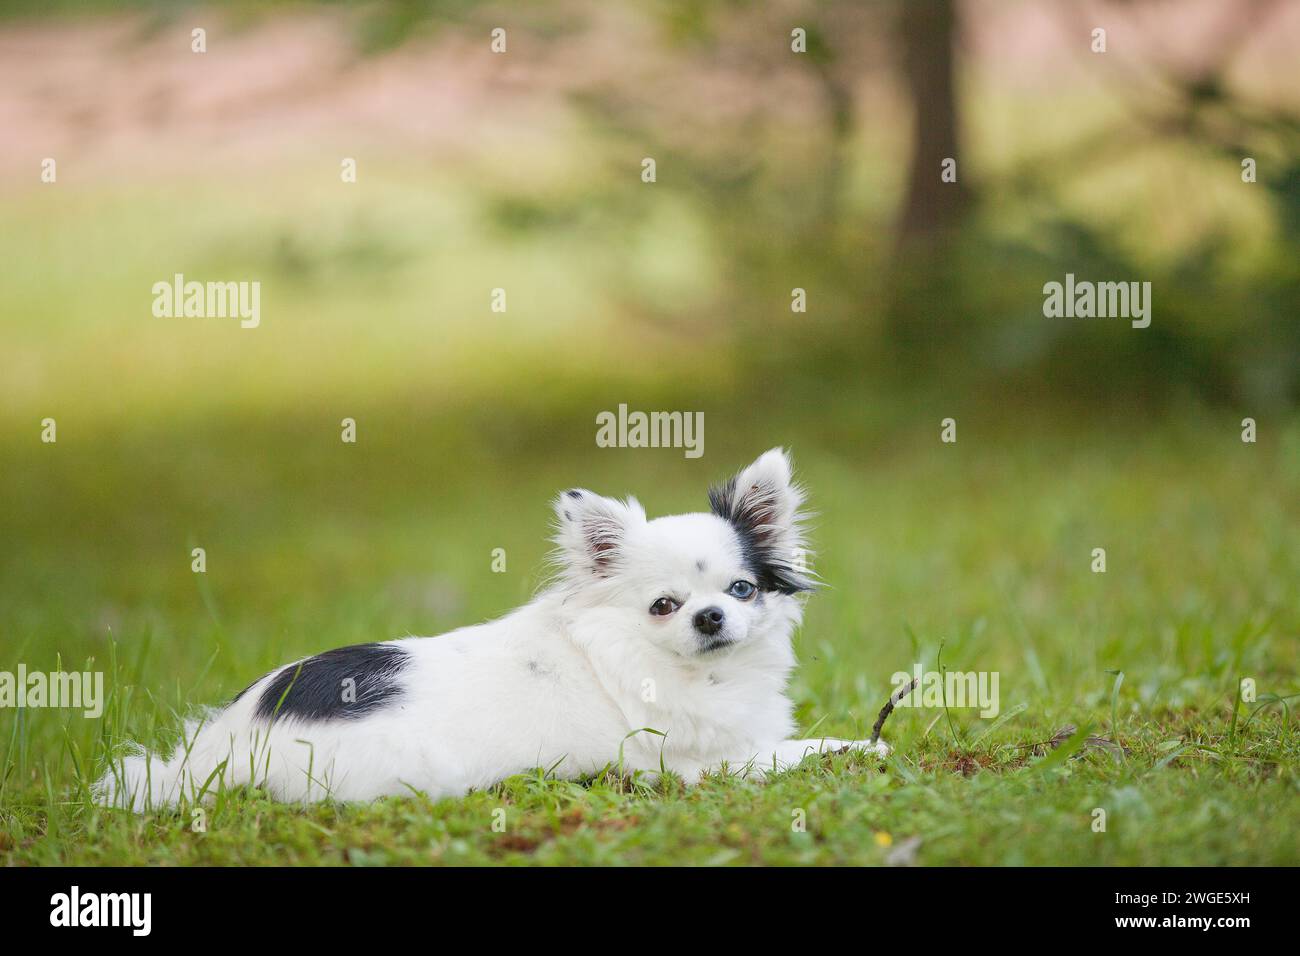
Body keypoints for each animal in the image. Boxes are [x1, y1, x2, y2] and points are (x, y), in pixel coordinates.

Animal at [96, 452, 889, 811]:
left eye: (741, 590)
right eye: (664, 606)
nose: (710, 616)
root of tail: (221, 746)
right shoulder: (705, 763)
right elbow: (795, 751)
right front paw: (863, 745)